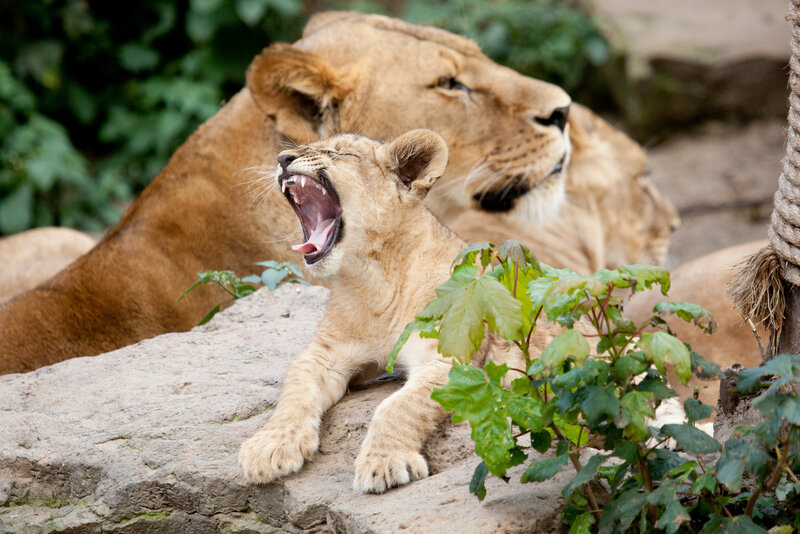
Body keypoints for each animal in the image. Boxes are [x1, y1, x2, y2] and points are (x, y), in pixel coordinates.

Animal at [237, 130, 557, 492]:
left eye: (336, 152)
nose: (282, 159)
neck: (376, 278)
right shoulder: (324, 352)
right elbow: (294, 390)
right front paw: (269, 448)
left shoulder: (451, 357)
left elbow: (398, 407)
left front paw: (385, 463)